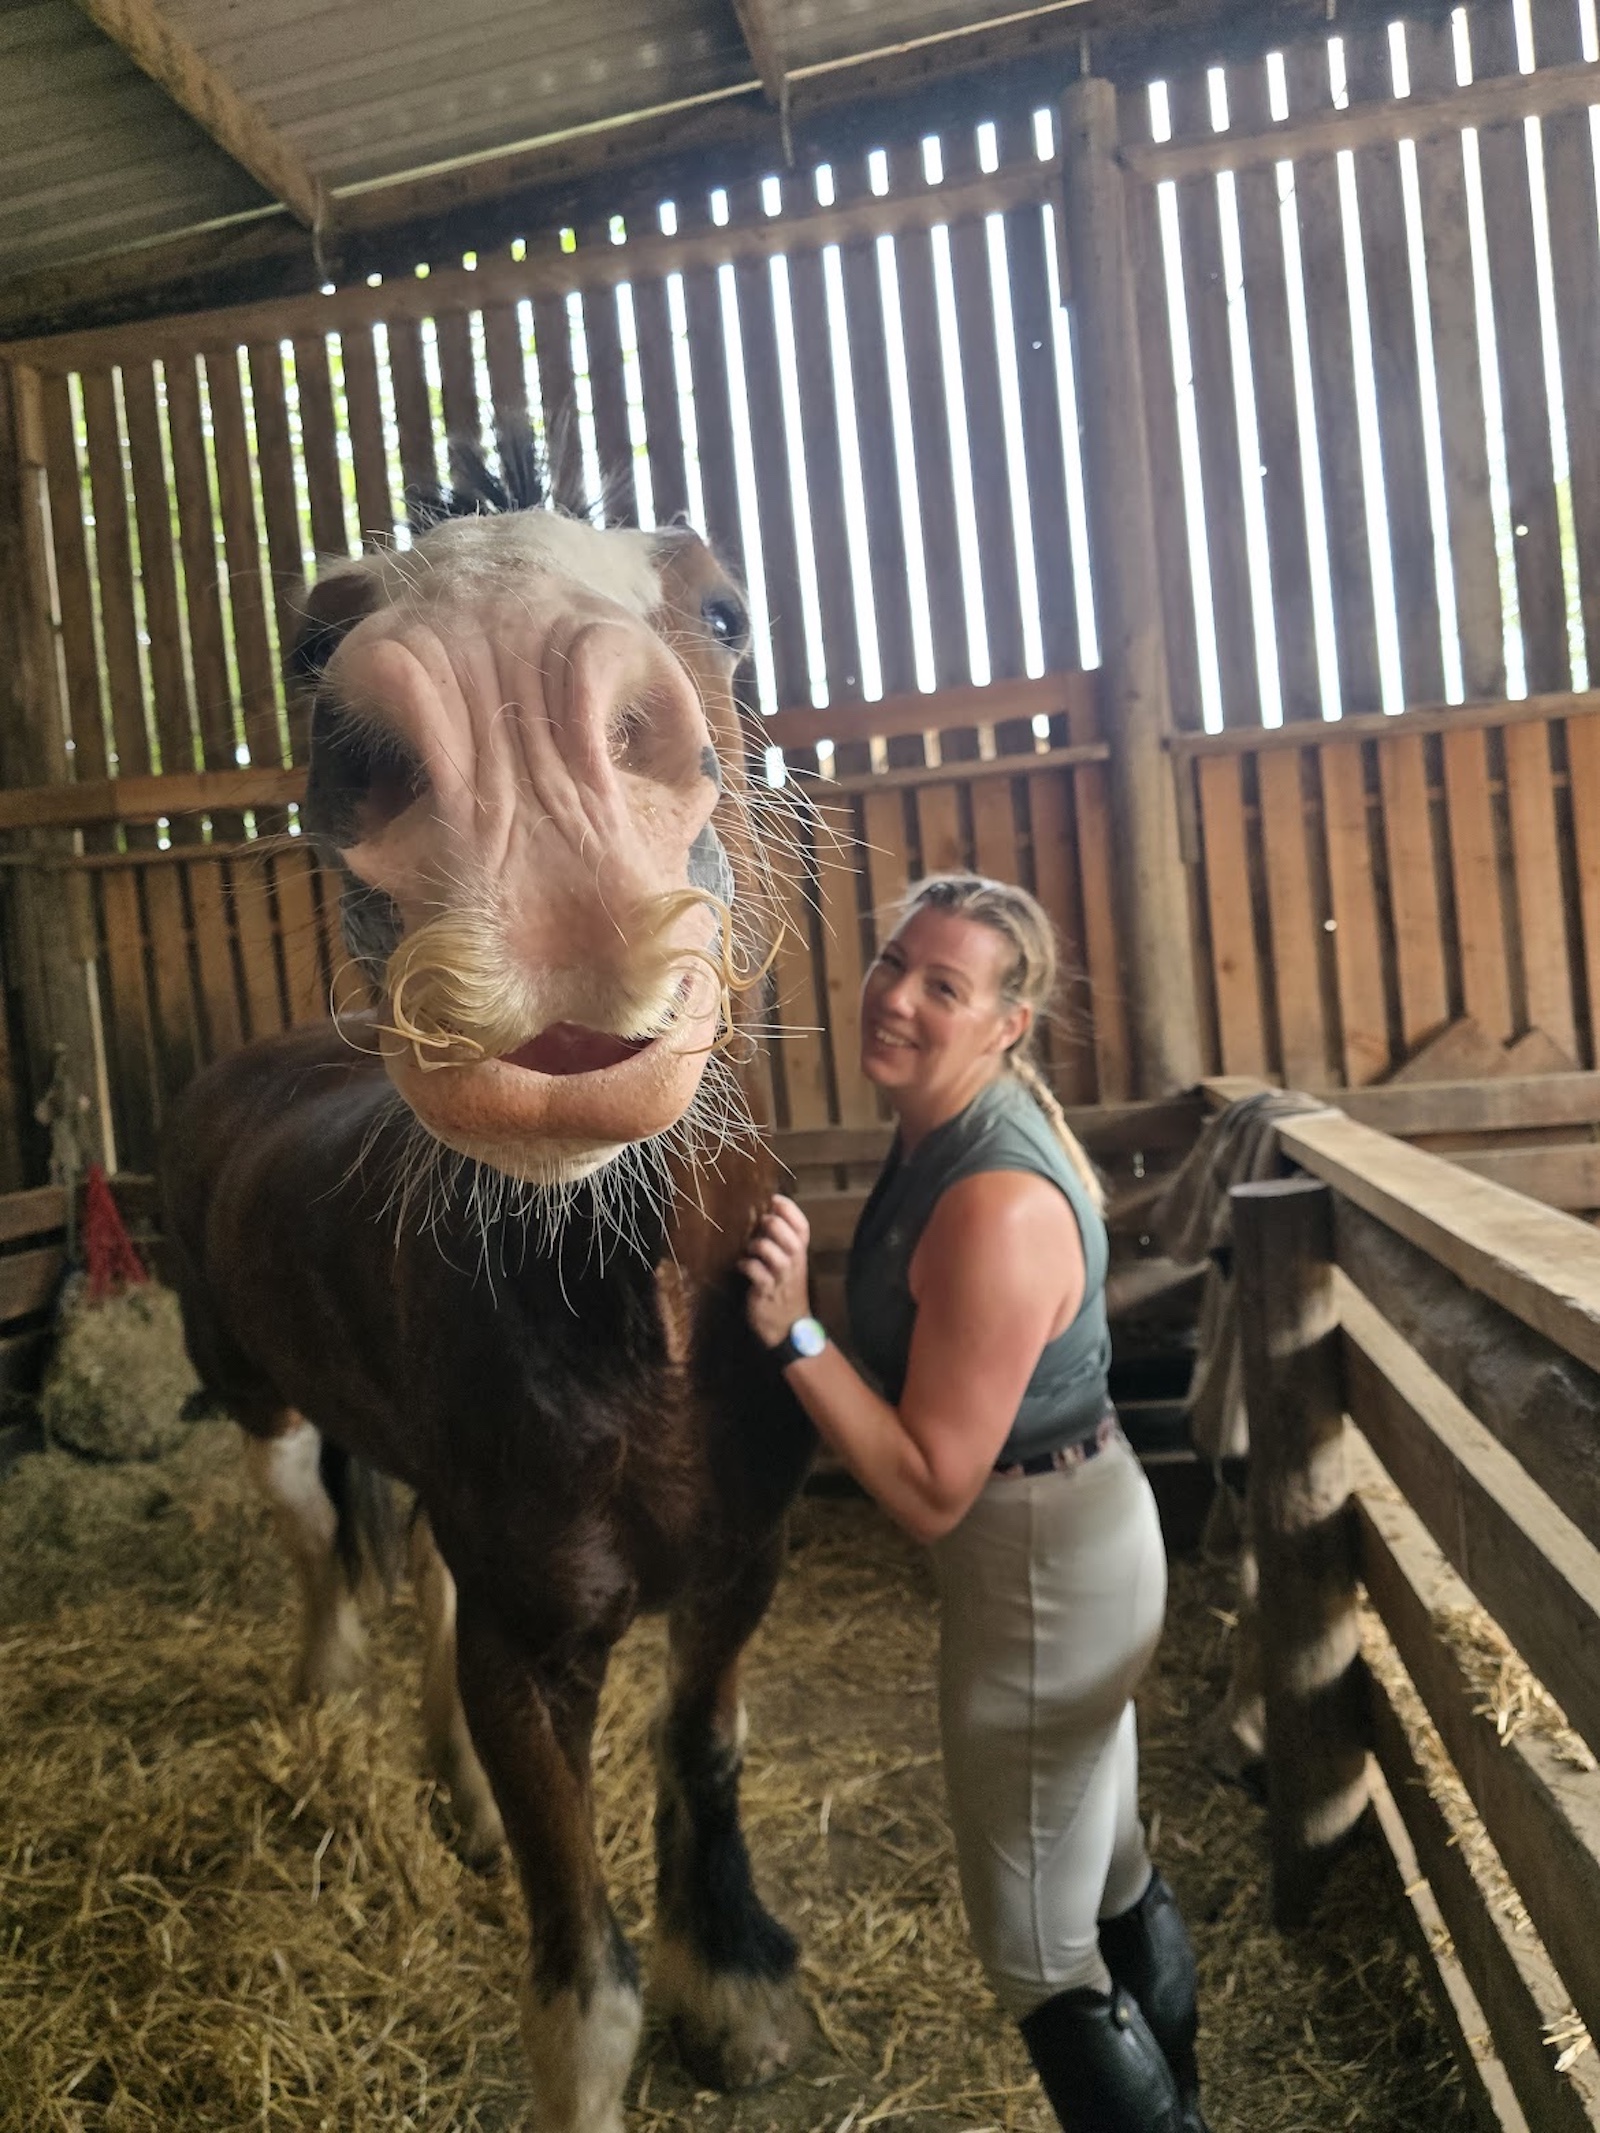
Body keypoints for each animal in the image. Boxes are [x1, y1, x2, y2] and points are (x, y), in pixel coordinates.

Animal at [160, 449, 817, 2133]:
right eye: (310, 646)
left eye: (727, 607)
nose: (508, 728)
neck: (641, 1338)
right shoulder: (533, 1654)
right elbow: (581, 1980)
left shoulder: (739, 1569)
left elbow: (701, 1753)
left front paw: (735, 1984)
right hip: (258, 1403)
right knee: (322, 1547)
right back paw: (323, 1695)